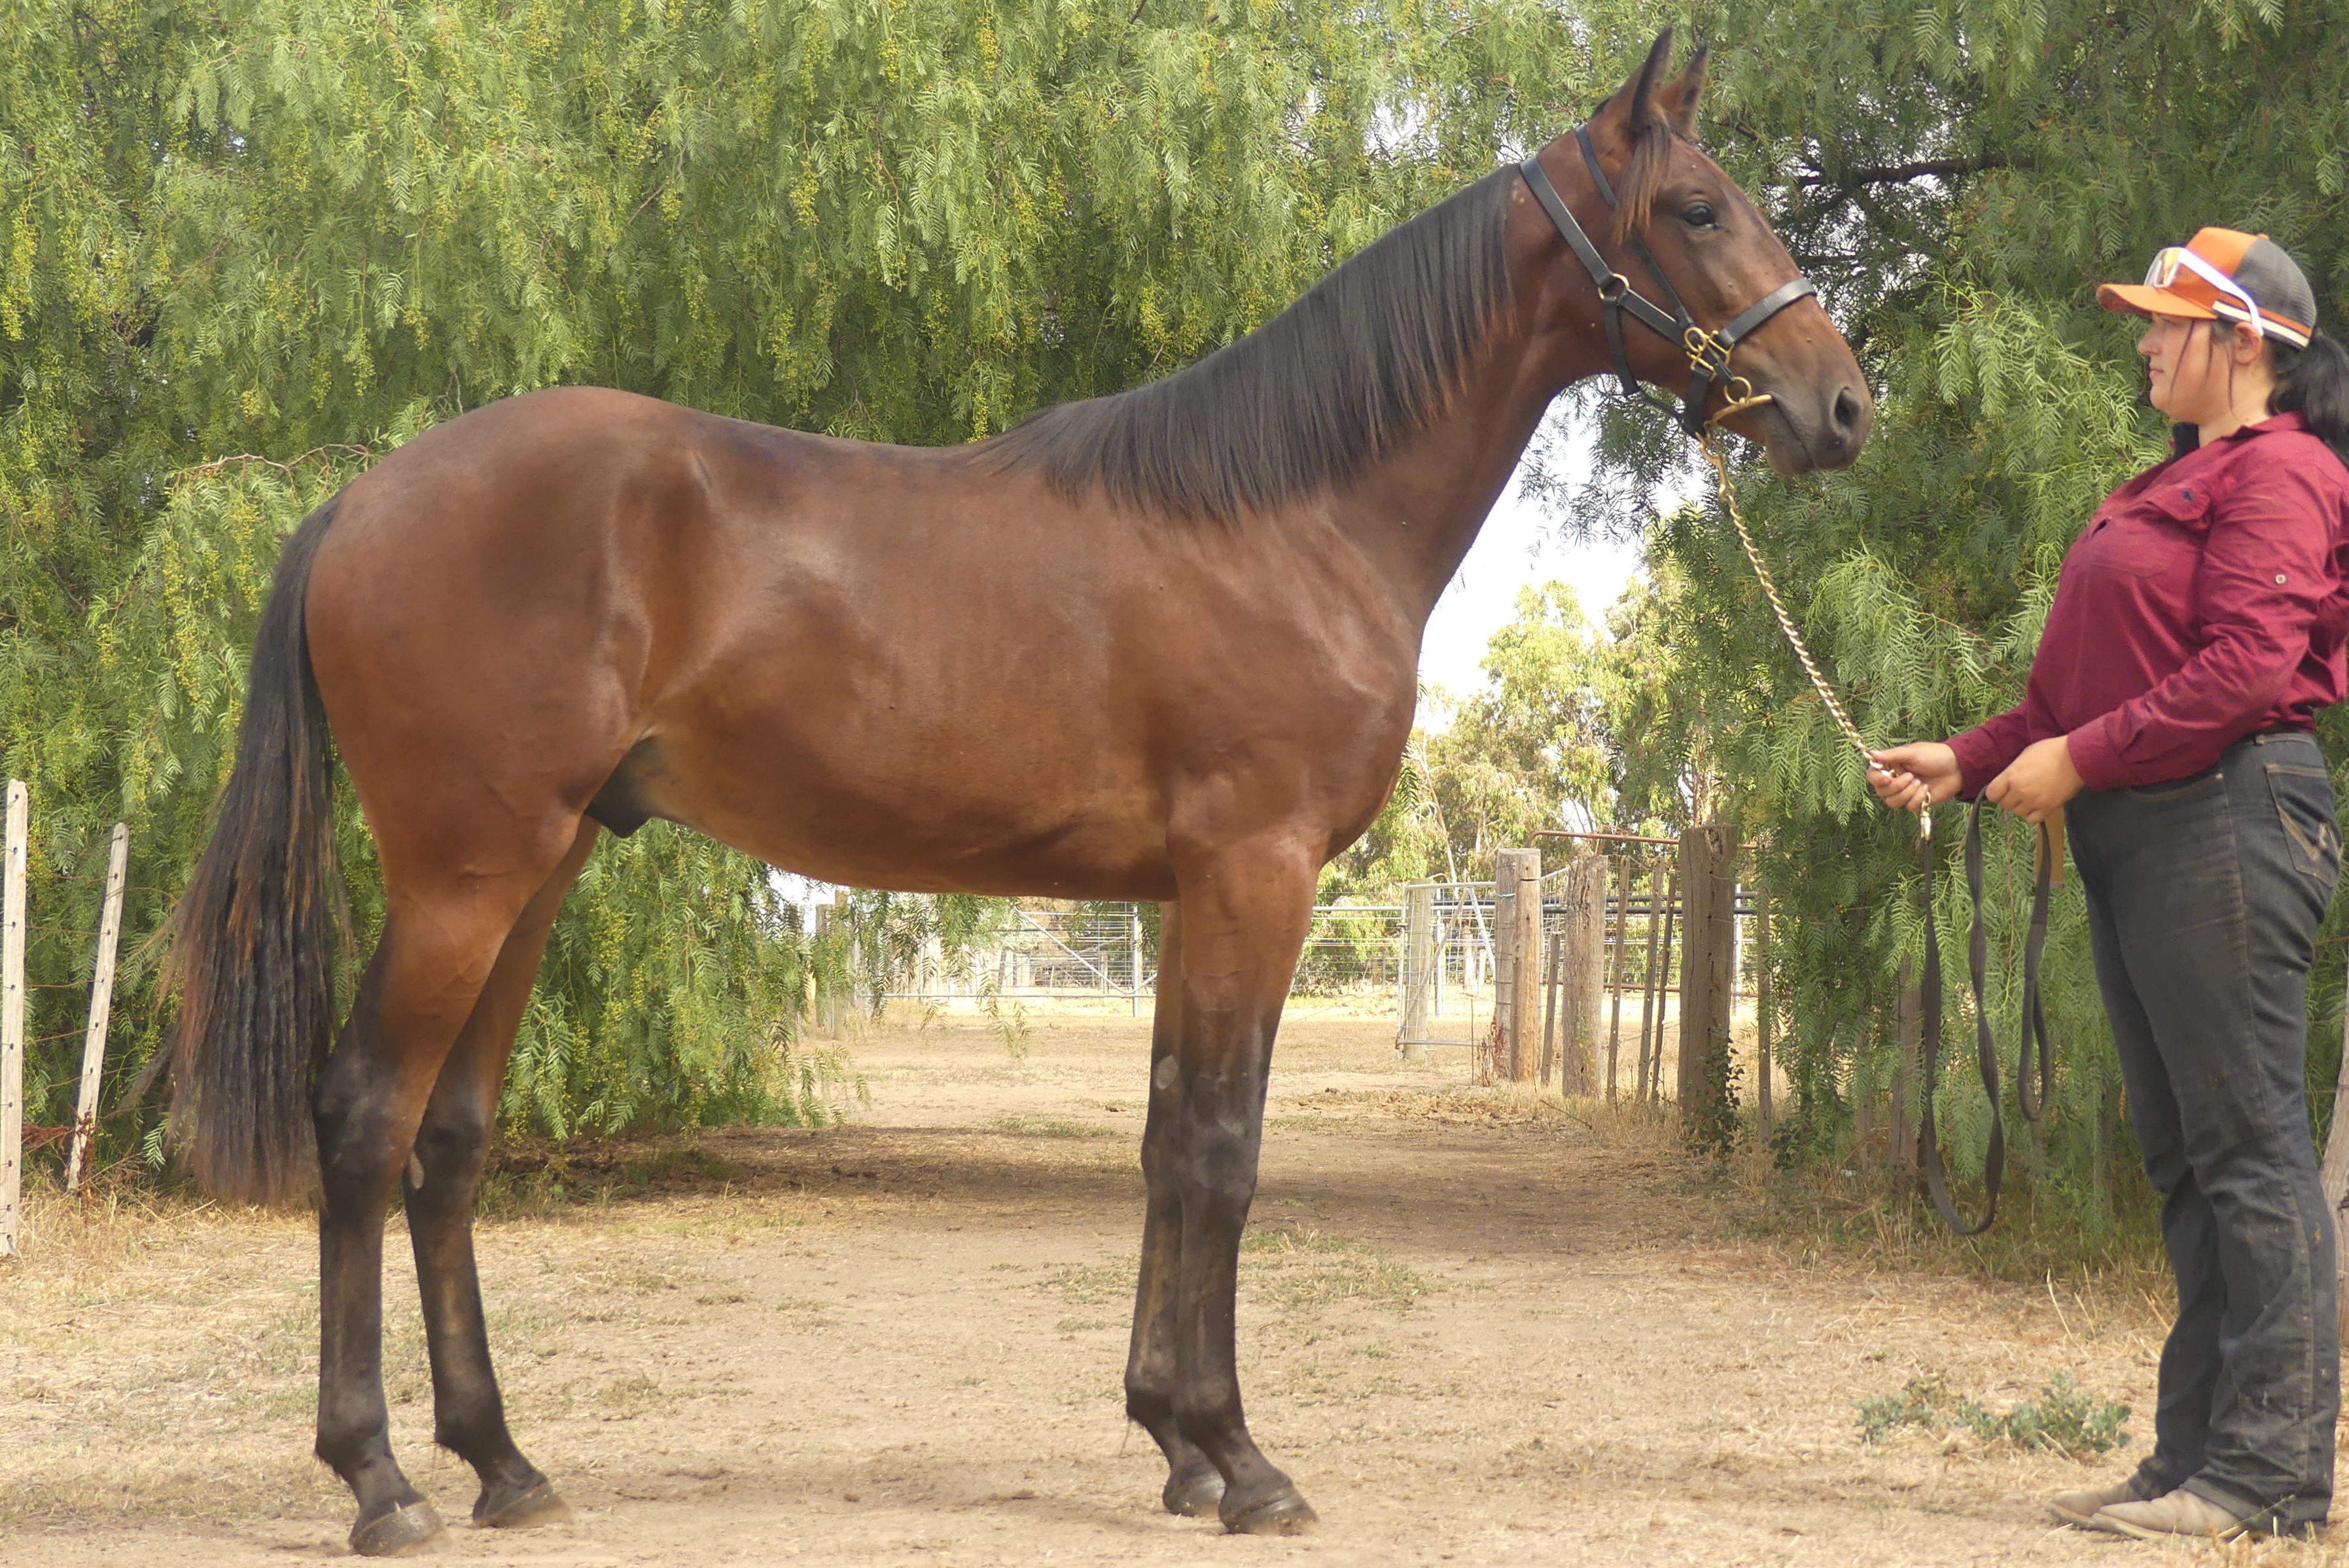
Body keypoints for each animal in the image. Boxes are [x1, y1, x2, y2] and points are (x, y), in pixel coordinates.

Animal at [163, 28, 1868, 1555]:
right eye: (1696, 206)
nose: (1839, 405)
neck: (1291, 515)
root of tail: (358, 500)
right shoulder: (1257, 871)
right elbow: (1223, 1149)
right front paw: (1244, 1461)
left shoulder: (1191, 894)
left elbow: (1167, 1135)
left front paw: (1173, 1440)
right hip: (465, 873)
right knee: (363, 1118)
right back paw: (379, 1481)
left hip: (542, 867)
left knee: (450, 1139)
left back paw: (504, 1464)